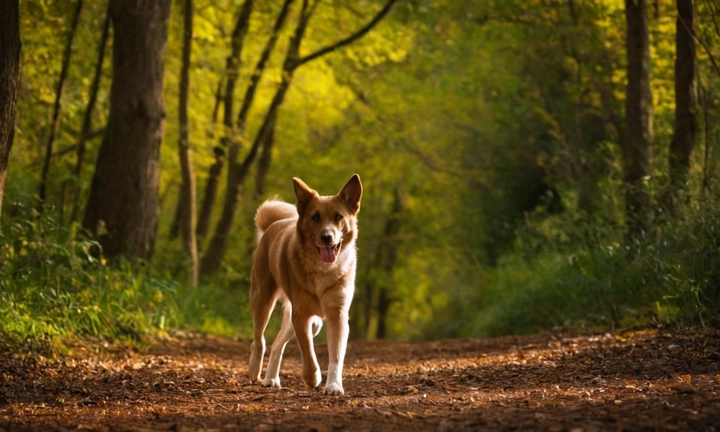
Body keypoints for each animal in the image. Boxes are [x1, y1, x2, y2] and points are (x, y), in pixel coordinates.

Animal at [249, 173, 362, 394]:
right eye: (315, 217)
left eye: (338, 217)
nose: (327, 237)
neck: (322, 269)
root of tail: (274, 224)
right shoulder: (301, 315)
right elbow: (308, 353)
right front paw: (313, 378)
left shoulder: (338, 314)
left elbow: (336, 355)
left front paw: (334, 386)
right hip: (263, 299)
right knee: (259, 339)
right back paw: (254, 371)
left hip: (299, 318)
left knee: (278, 343)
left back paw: (270, 379)